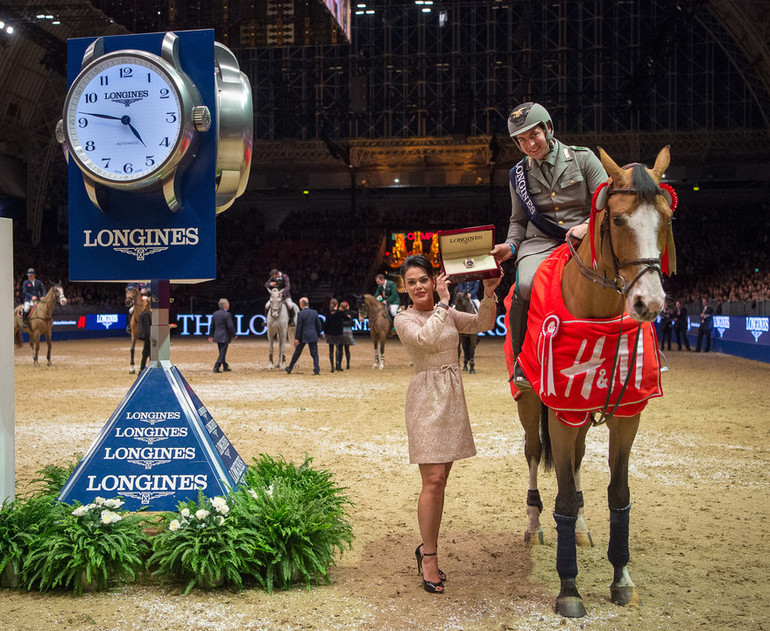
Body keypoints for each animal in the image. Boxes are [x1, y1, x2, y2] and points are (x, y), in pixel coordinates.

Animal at [508, 147, 676, 616]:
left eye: (667, 218)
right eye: (617, 220)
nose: (649, 302)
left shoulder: (627, 415)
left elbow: (618, 495)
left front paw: (621, 579)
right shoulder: (561, 414)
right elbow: (562, 497)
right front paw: (569, 589)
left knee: (579, 463)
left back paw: (582, 528)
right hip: (532, 404)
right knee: (534, 454)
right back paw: (534, 524)